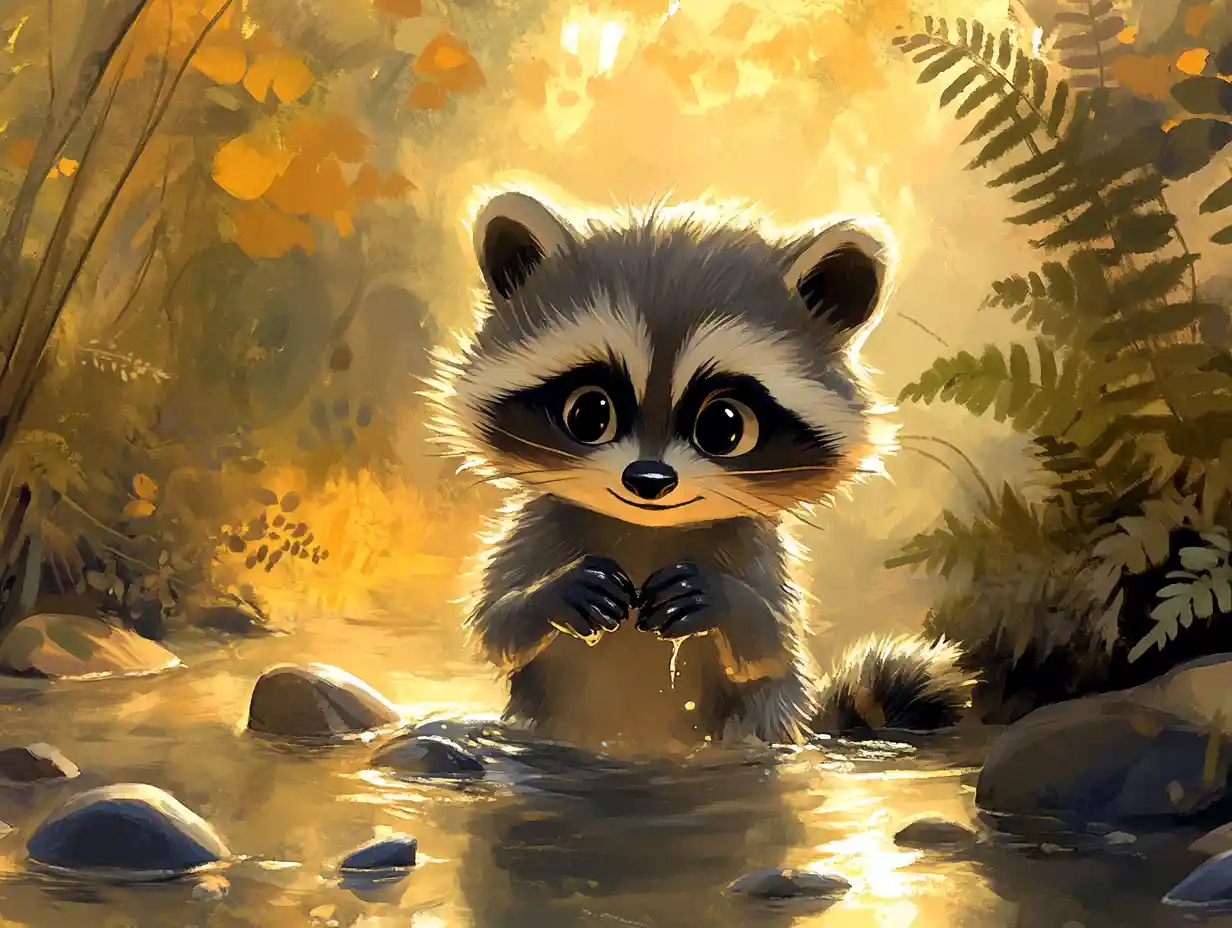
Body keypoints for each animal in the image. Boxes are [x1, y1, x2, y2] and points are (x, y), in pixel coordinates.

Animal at [427, 186, 973, 754]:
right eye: (590, 413)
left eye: (723, 425)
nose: (648, 479)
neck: (647, 529)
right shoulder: (541, 525)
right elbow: (495, 626)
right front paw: (552, 593)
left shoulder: (756, 548)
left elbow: (773, 643)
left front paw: (726, 600)